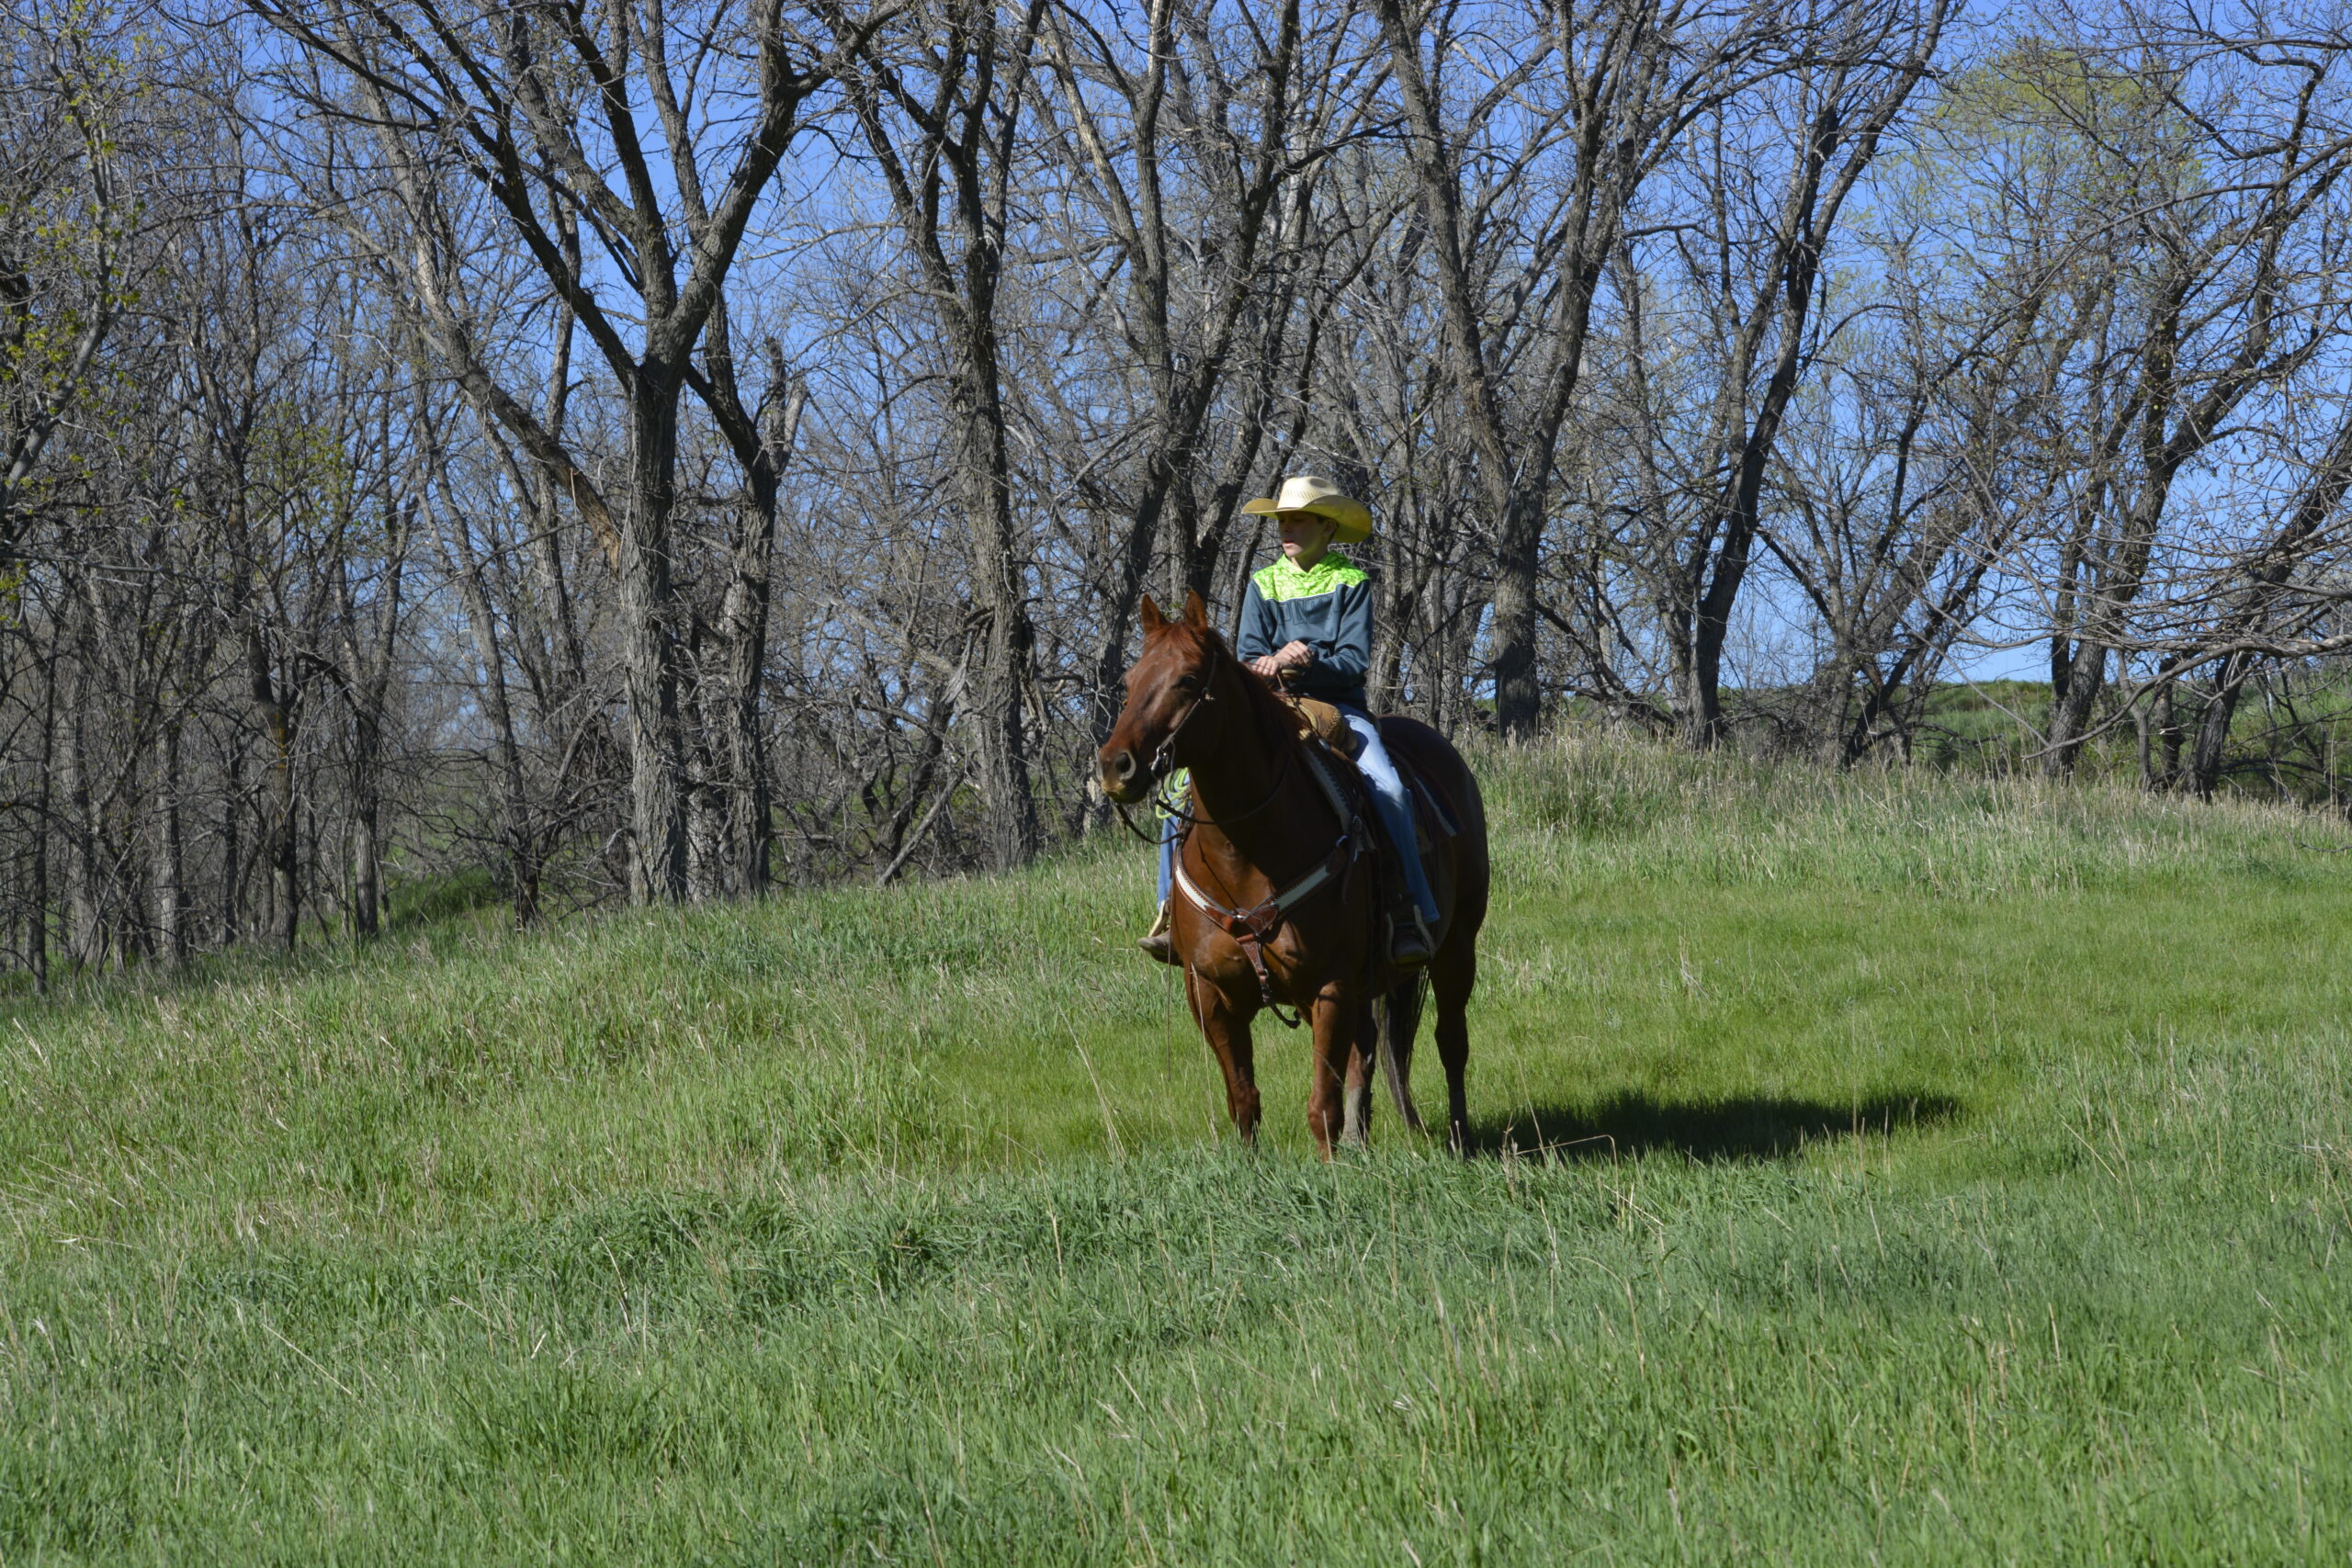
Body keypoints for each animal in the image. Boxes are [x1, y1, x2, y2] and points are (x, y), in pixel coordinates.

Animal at [1097, 590, 1490, 1157]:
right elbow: (1244, 1102)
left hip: (1456, 946)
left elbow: (1320, 1106)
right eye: (1129, 681)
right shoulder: (1211, 995)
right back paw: (1360, 1139)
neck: (1246, 857)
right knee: (1367, 1050)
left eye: (1188, 679)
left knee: (1450, 1041)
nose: (1115, 767)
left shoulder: (1329, 987)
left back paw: (1458, 1137)